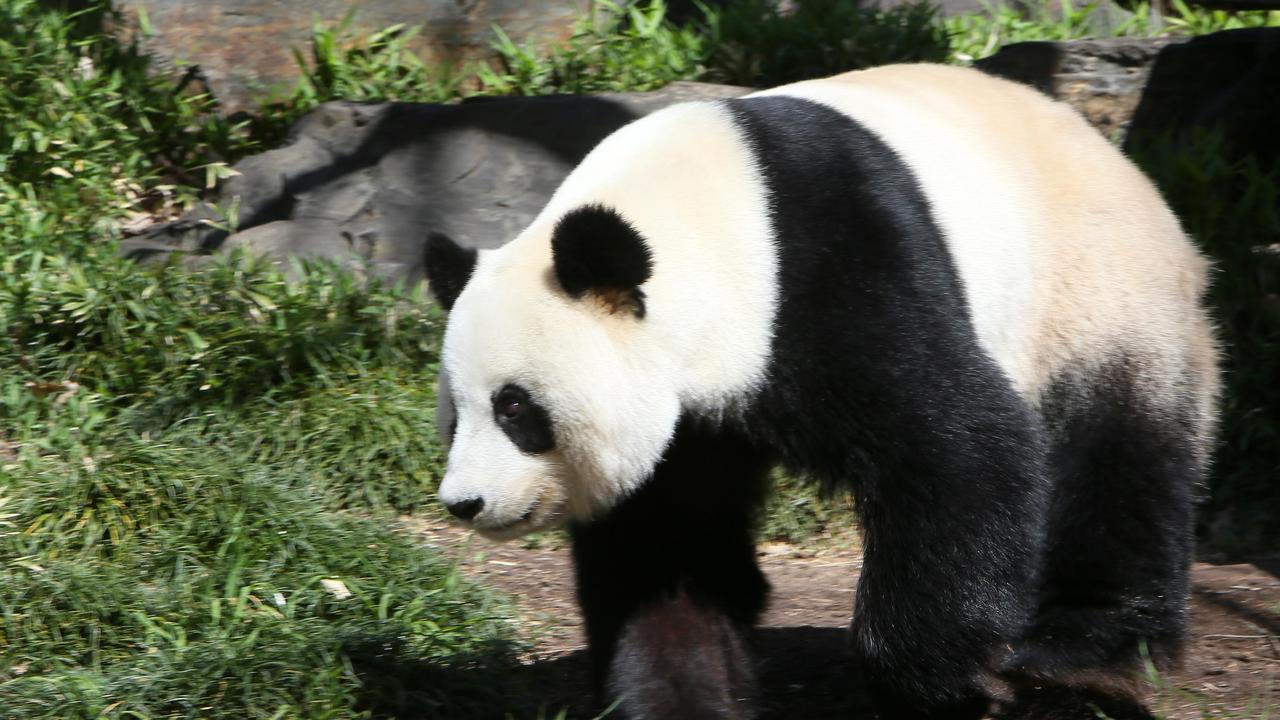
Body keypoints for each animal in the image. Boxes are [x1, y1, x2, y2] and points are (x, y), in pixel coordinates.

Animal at [422, 64, 1218, 712]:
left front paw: (944, 680)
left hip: (1100, 292)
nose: (466, 503)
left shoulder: (830, 269)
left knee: (1119, 456)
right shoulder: (692, 416)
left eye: (516, 408)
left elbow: (960, 445)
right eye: (456, 416)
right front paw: (680, 693)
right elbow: (666, 547)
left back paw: (1079, 648)